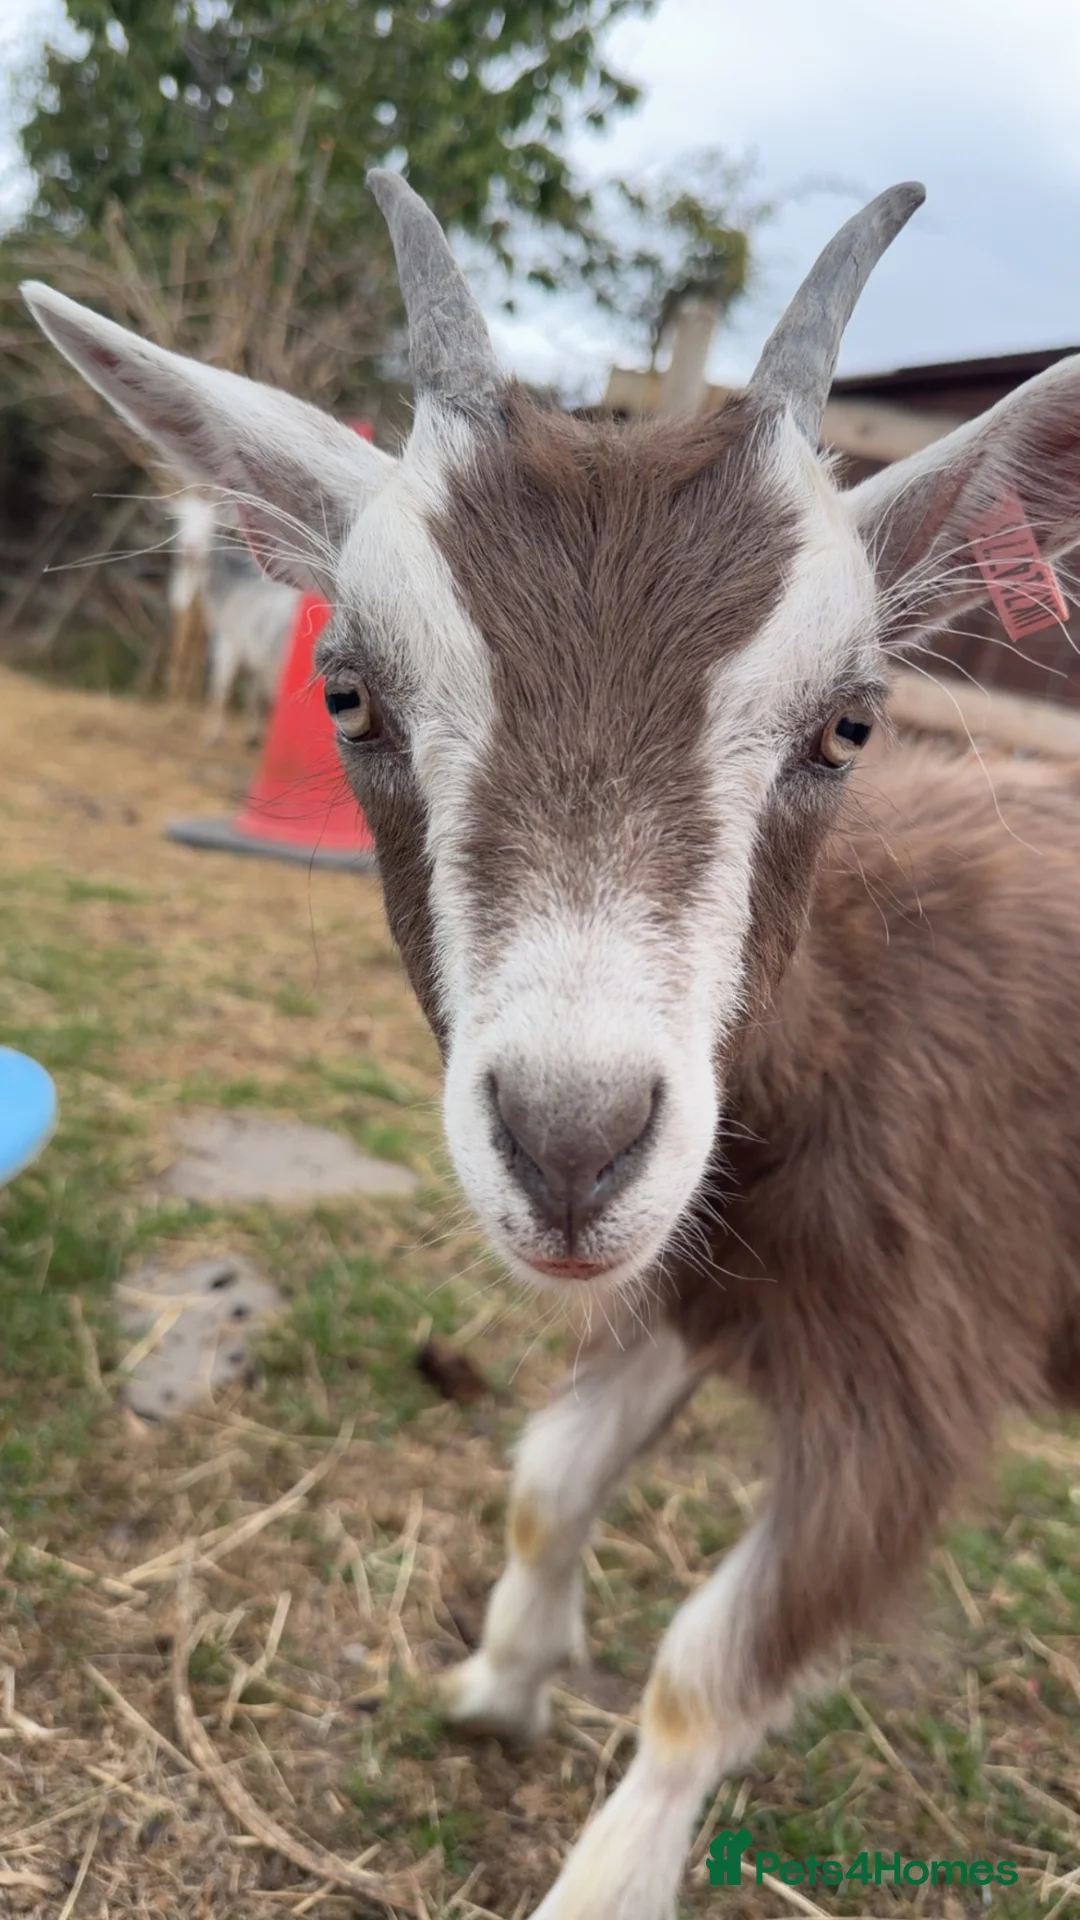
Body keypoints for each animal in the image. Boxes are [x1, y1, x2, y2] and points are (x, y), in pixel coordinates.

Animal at [167, 492, 298, 743]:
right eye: (179, 520)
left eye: (211, 525)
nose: (191, 549)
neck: (231, 587)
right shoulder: (255, 656)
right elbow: (251, 692)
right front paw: (253, 735)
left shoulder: (228, 644)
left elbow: (221, 687)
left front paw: (213, 734)